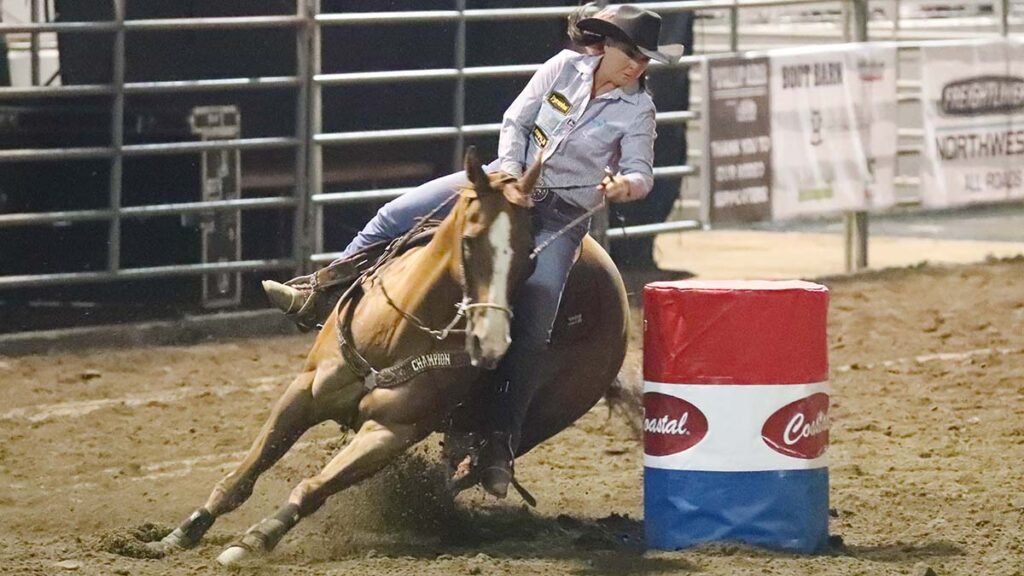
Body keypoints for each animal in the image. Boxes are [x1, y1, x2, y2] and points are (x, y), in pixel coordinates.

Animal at [147, 147, 626, 565]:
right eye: (470, 242)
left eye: (530, 258)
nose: (489, 342)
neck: (399, 327)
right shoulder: (304, 392)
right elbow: (245, 472)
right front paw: (179, 535)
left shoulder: (392, 431)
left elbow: (314, 486)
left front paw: (253, 541)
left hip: (534, 424)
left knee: (466, 474)